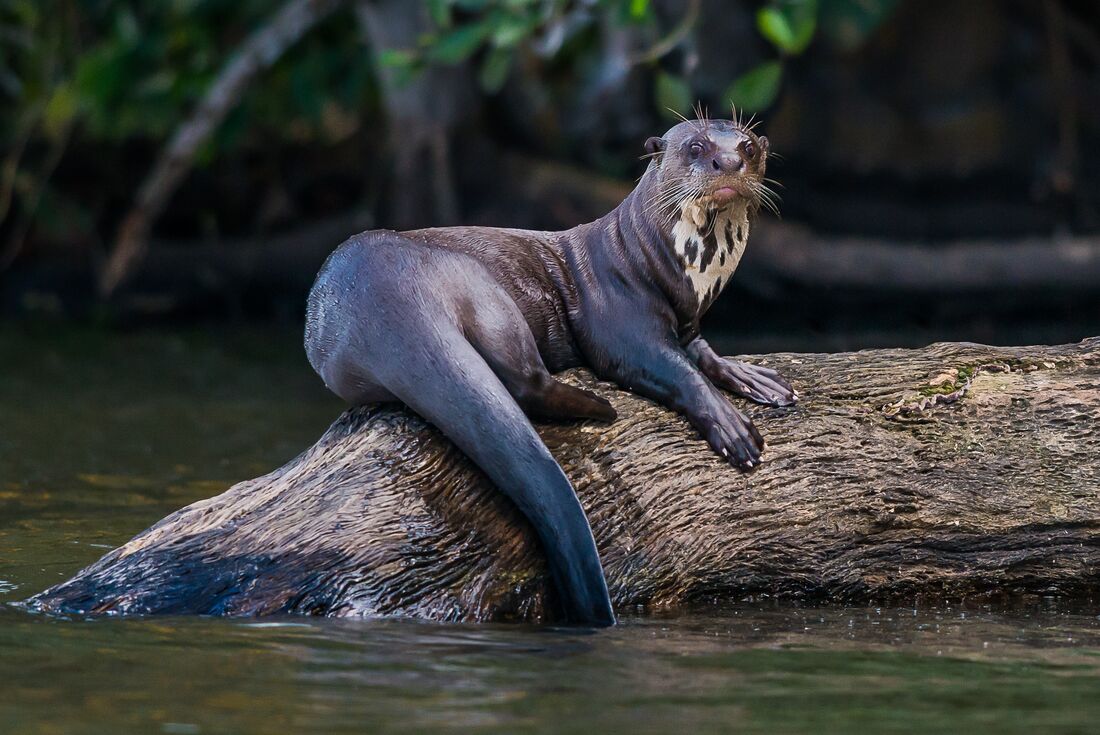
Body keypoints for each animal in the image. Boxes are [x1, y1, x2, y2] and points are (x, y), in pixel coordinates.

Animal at [304, 117, 797, 626]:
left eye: (747, 146)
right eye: (696, 147)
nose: (729, 162)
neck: (661, 265)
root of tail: (381, 297)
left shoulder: (688, 322)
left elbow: (704, 353)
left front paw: (755, 378)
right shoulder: (620, 321)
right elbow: (672, 369)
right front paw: (731, 427)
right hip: (479, 287)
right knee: (525, 380)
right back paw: (600, 408)